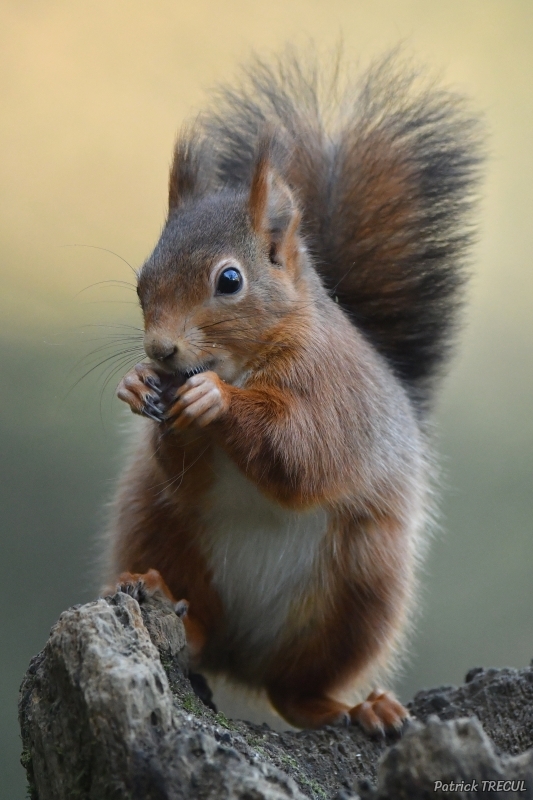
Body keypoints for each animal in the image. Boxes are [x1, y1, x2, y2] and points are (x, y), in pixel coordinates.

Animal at [101, 53, 482, 736]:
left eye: (230, 280)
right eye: (143, 280)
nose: (160, 351)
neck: (245, 363)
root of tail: (243, 660)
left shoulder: (336, 394)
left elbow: (305, 454)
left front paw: (217, 402)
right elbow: (184, 473)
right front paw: (138, 385)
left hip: (360, 589)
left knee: (297, 691)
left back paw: (362, 707)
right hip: (158, 526)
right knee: (200, 625)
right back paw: (170, 603)